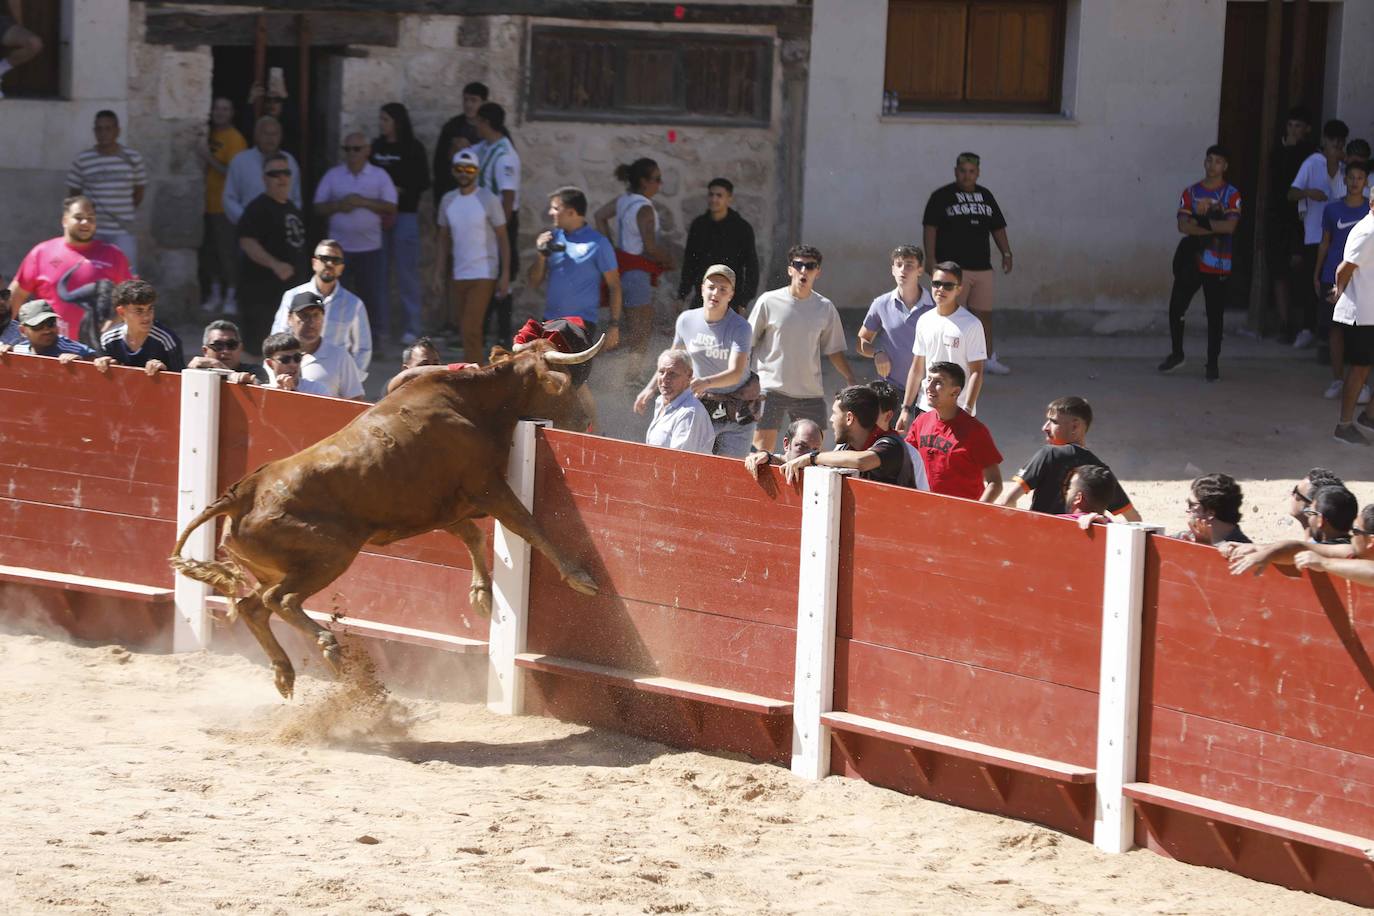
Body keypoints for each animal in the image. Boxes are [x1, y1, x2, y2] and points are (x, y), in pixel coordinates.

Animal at [167, 340, 601, 697]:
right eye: (566, 384)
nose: (586, 421)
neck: (473, 403)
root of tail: (240, 494)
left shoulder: (444, 508)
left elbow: (475, 537)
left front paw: (481, 595)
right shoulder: (488, 487)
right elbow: (528, 525)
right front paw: (580, 578)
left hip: (275, 568)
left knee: (252, 607)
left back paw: (284, 674)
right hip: (331, 555)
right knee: (281, 600)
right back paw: (330, 648)